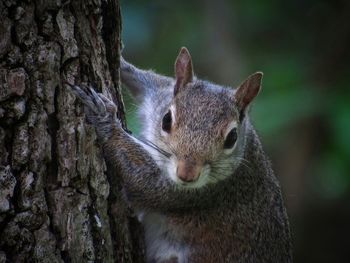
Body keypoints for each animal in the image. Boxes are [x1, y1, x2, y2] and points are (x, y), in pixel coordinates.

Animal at [69, 47, 292, 263]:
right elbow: (145, 78)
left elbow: (144, 182)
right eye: (166, 120)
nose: (187, 175)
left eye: (232, 138)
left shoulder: (205, 193)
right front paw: (122, 63)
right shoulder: (159, 92)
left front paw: (105, 119)